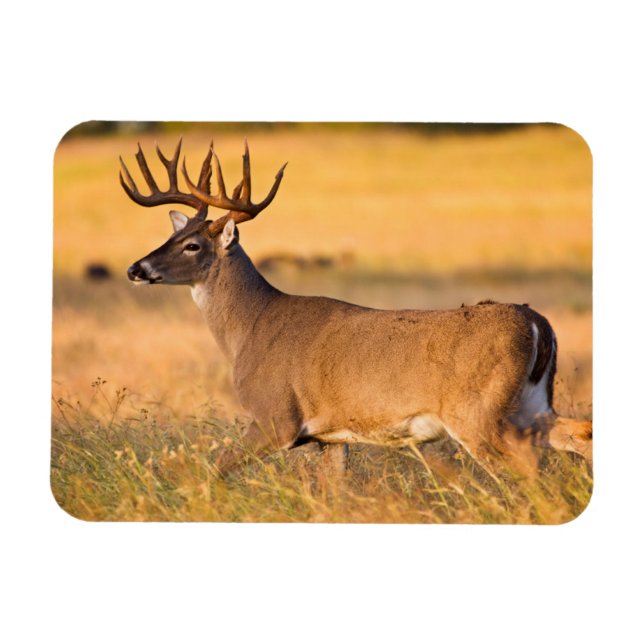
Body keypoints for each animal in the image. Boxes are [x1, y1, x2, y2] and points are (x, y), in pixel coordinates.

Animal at [121, 139, 592, 480]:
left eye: (192, 245)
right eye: (172, 237)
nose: (135, 268)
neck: (251, 328)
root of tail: (538, 322)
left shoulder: (275, 417)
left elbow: (212, 471)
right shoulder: (331, 437)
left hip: (477, 411)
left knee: (526, 465)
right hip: (531, 403)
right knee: (578, 434)